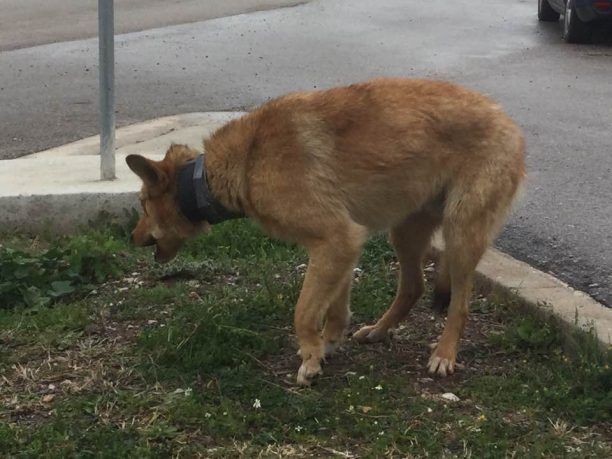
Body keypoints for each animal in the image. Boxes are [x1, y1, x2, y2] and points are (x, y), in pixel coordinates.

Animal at [125, 78, 524, 384]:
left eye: (143, 203)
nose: (131, 239)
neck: (239, 165)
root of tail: (507, 120)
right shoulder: (342, 247)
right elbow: (335, 307)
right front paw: (328, 343)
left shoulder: (336, 239)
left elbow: (303, 311)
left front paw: (310, 357)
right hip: (405, 234)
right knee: (414, 287)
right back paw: (379, 330)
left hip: (460, 237)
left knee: (460, 305)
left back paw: (444, 354)